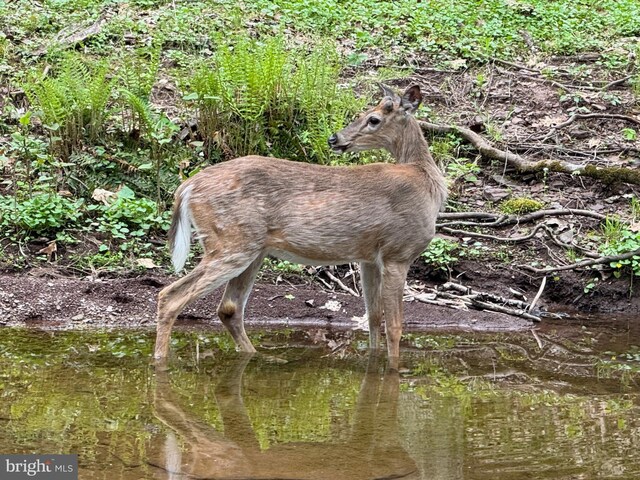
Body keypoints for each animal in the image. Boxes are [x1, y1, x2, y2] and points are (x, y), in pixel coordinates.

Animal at [152, 84, 448, 368]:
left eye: (373, 118)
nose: (334, 138)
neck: (426, 182)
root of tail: (187, 186)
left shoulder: (370, 258)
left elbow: (373, 318)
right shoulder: (398, 252)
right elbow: (395, 327)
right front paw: (394, 369)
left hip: (250, 249)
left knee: (229, 308)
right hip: (231, 242)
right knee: (170, 297)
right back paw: (161, 361)